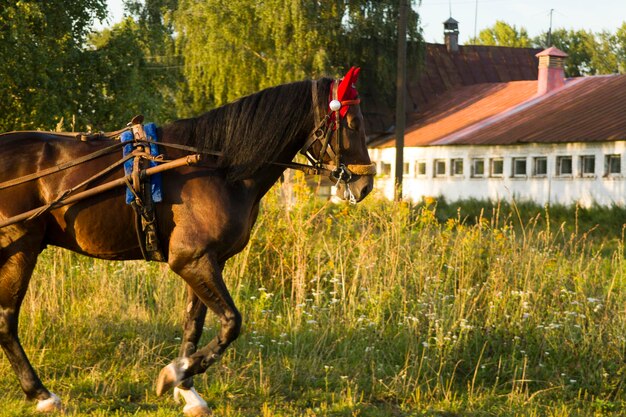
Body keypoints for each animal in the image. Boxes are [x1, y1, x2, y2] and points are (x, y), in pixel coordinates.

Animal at [0, 66, 370, 414]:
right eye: (352, 122)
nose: (365, 184)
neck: (218, 166)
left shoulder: (207, 261)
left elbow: (194, 324)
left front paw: (187, 388)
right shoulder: (191, 259)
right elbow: (231, 323)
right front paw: (173, 375)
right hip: (21, 250)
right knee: (6, 321)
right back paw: (41, 393)